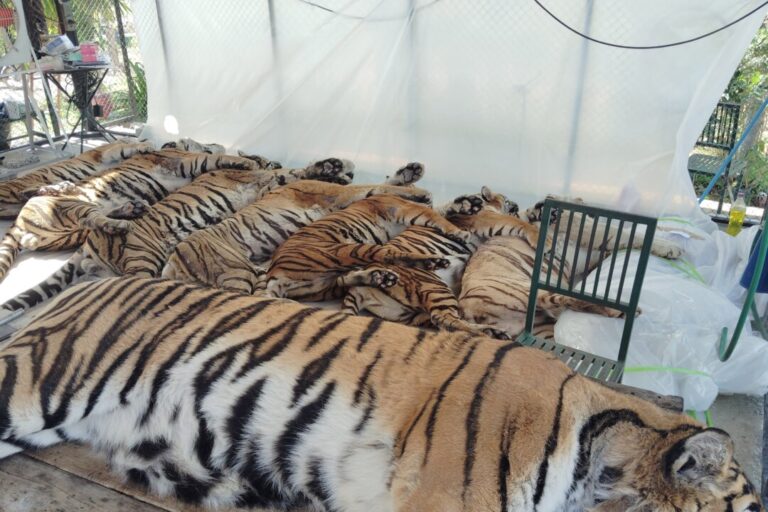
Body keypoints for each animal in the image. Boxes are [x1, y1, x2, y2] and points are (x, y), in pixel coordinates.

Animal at [0, 149, 275, 283]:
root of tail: (18, 223)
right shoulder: (187, 162)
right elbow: (218, 157)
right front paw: (249, 162)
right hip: (71, 207)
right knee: (92, 217)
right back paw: (119, 223)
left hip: (68, 233)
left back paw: (130, 209)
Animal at [161, 162, 431, 294]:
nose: (347, 173)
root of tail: (172, 265)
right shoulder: (339, 193)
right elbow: (376, 186)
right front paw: (420, 192)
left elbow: (378, 184)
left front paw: (411, 173)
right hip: (236, 273)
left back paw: (379, 277)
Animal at [262, 193, 479, 301]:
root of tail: (273, 271)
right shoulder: (408, 209)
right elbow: (436, 215)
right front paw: (460, 230)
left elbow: (440, 211)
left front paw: (466, 205)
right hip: (346, 250)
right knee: (390, 255)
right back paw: (434, 261)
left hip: (321, 285)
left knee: (346, 278)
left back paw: (381, 277)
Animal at [458, 196, 684, 337]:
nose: (541, 205)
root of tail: (465, 308)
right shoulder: (596, 235)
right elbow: (632, 235)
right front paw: (672, 248)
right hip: (527, 290)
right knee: (569, 299)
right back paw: (623, 311)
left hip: (541, 325)